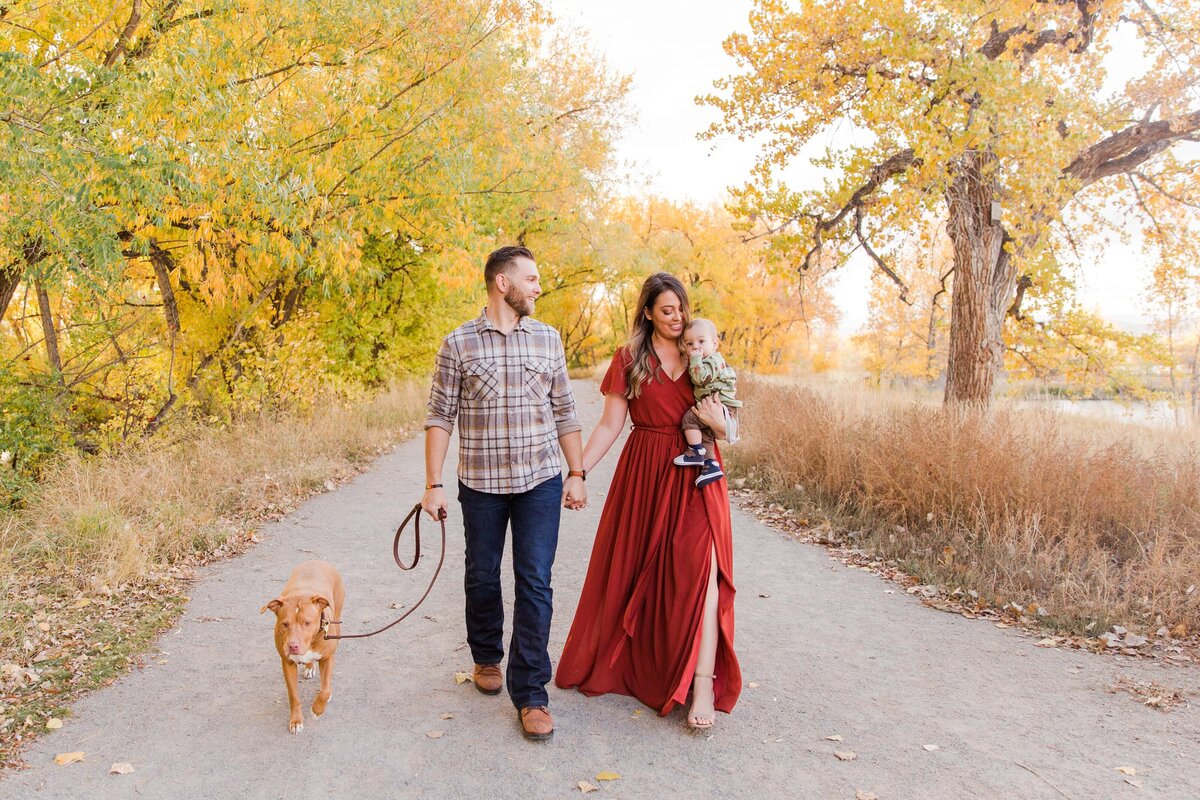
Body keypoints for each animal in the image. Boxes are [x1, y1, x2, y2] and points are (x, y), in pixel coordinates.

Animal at [258, 561, 343, 734]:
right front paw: (296, 721)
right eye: (284, 624)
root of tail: (317, 561)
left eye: (307, 623)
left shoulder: (327, 658)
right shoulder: (287, 663)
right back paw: (309, 667)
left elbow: (325, 689)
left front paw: (317, 709)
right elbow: (294, 696)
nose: (293, 646)